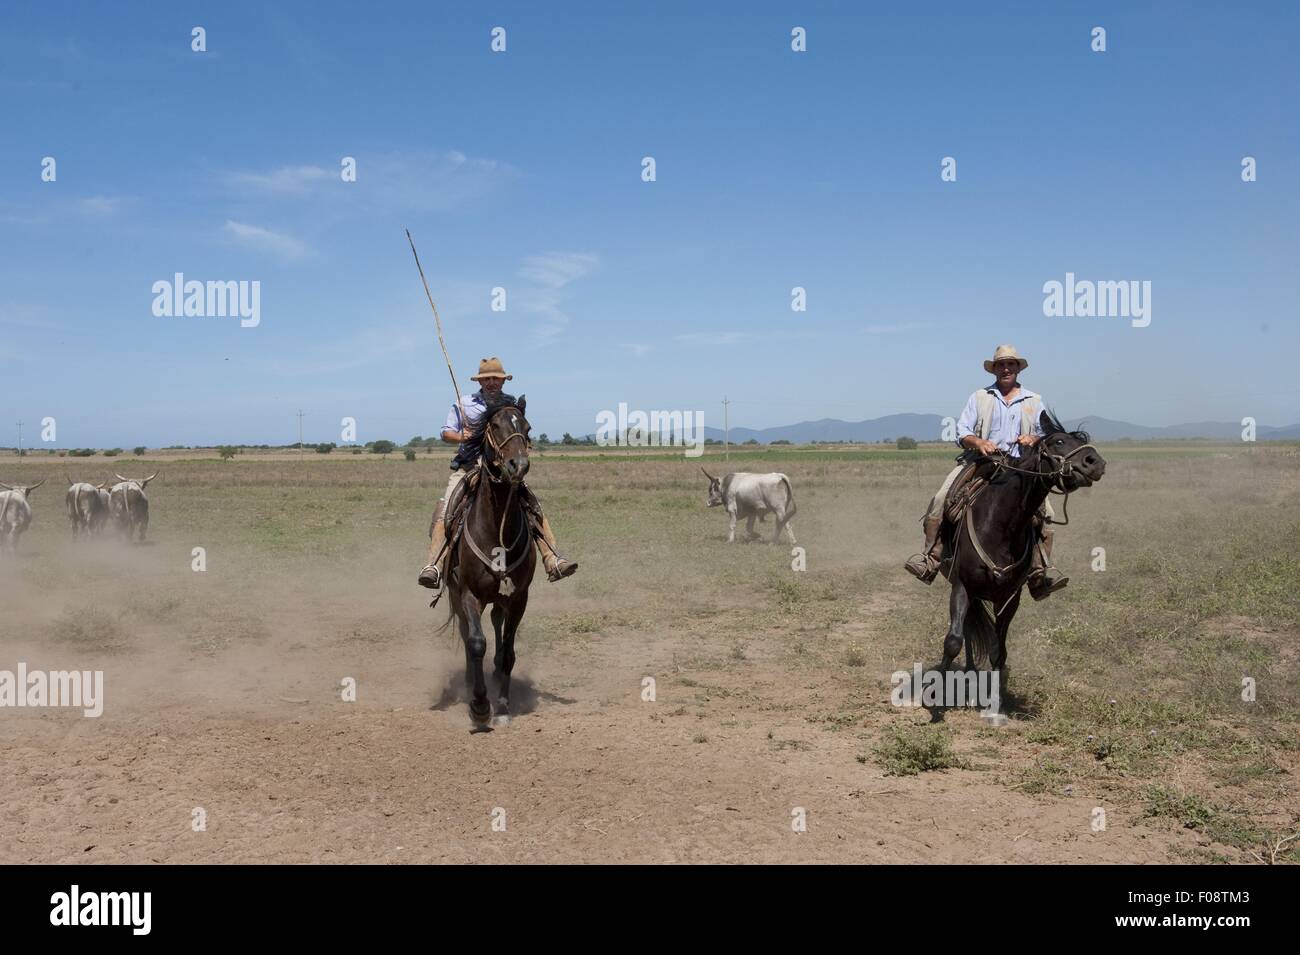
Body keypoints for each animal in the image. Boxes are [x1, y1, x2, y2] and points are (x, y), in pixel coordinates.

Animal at [439, 392, 535, 727]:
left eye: (527, 428)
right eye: (494, 426)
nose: (518, 465)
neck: (496, 528)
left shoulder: (519, 597)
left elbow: (508, 651)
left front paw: (503, 706)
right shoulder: (469, 594)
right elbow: (476, 643)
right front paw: (480, 706)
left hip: (500, 597)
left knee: (496, 623)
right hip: (456, 593)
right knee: (468, 634)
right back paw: (472, 682)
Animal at [935, 407, 1107, 686]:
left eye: (1081, 442)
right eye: (1059, 441)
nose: (1096, 463)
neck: (1001, 525)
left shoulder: (1010, 597)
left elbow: (998, 651)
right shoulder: (962, 586)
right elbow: (952, 642)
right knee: (968, 631)